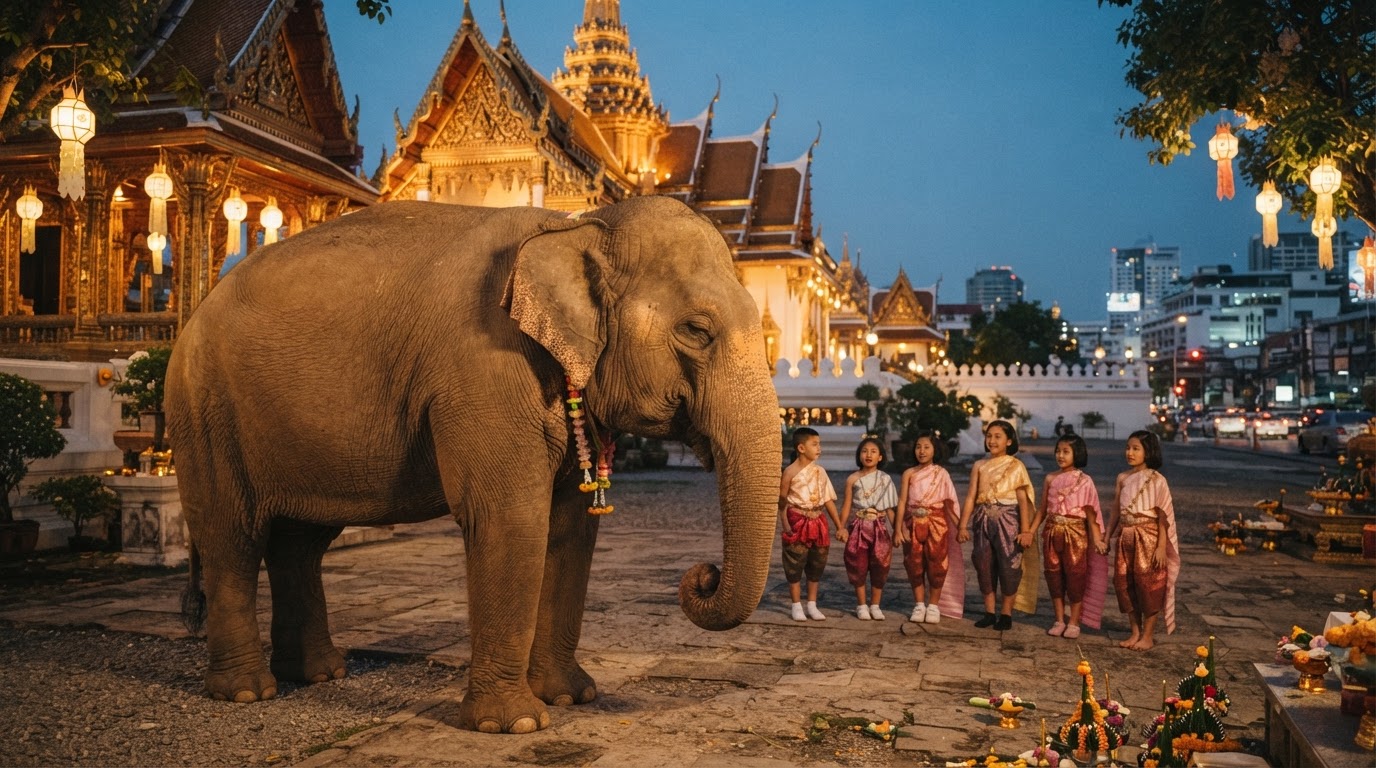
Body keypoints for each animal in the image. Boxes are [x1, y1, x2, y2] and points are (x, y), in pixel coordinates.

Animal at [165, 196, 781, 734]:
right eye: (696, 331)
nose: (703, 574)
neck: (579, 225)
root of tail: (193, 312)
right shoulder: (485, 369)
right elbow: (511, 519)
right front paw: (515, 725)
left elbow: (571, 529)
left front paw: (572, 698)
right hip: (205, 413)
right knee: (232, 538)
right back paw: (247, 692)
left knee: (300, 542)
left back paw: (317, 675)